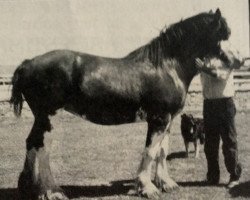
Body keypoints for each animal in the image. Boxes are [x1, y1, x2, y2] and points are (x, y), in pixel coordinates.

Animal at [10, 9, 235, 200]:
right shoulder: (158, 119)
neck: (166, 67)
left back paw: (31, 188)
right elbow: (150, 151)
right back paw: (50, 191)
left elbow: (161, 151)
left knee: (33, 144)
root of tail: (27, 63)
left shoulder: (168, 120)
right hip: (47, 117)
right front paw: (147, 188)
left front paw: (166, 183)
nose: (234, 62)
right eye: (222, 35)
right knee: (40, 147)